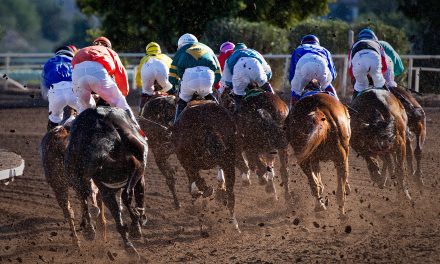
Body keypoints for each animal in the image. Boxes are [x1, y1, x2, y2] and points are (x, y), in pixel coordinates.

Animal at [172, 100, 241, 232]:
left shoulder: (188, 165)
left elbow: (195, 184)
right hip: (228, 161)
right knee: (230, 193)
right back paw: (234, 224)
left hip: (189, 162)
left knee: (197, 182)